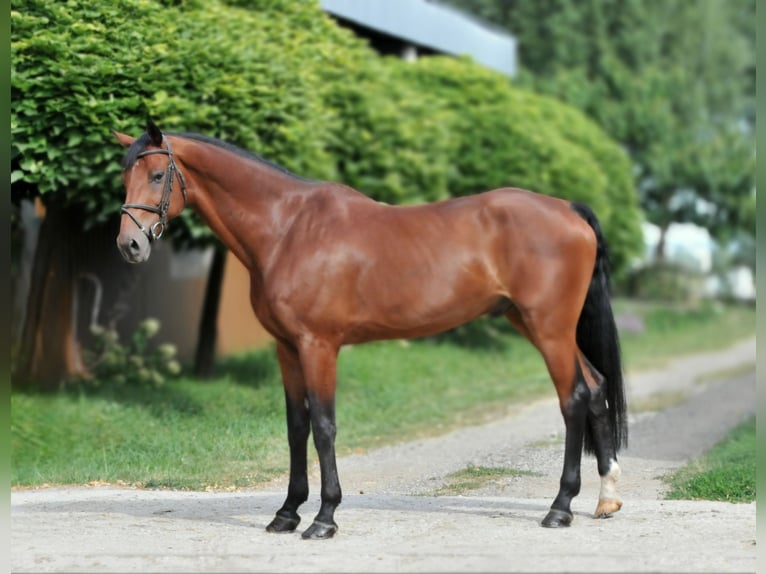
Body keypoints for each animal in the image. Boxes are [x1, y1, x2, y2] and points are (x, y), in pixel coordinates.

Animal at [114, 119, 627, 540]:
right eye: (124, 176)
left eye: (157, 175)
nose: (129, 245)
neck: (289, 228)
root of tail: (568, 210)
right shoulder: (287, 348)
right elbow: (296, 427)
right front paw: (286, 513)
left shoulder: (318, 346)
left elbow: (323, 426)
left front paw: (324, 519)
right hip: (539, 325)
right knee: (597, 387)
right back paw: (605, 498)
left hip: (549, 330)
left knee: (573, 399)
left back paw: (560, 508)